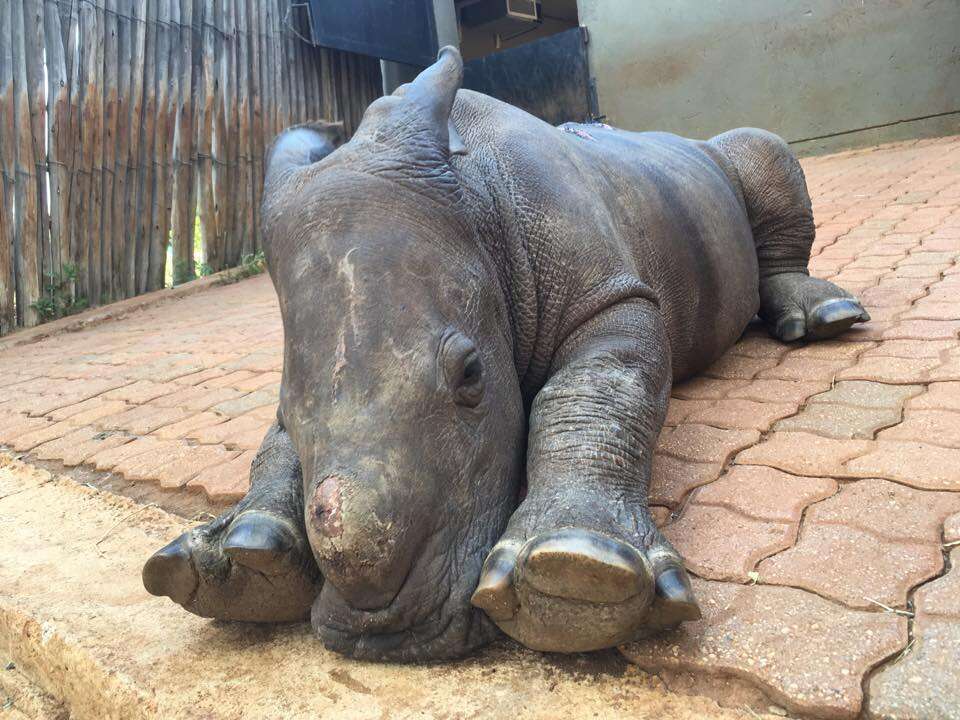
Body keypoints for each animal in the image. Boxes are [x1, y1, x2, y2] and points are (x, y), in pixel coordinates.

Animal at [142, 47, 872, 660]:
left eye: (471, 376)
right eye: (288, 415)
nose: (382, 634)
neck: (475, 197)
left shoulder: (610, 298)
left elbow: (592, 392)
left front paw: (574, 579)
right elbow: (275, 448)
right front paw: (236, 563)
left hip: (706, 161)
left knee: (759, 148)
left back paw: (827, 318)